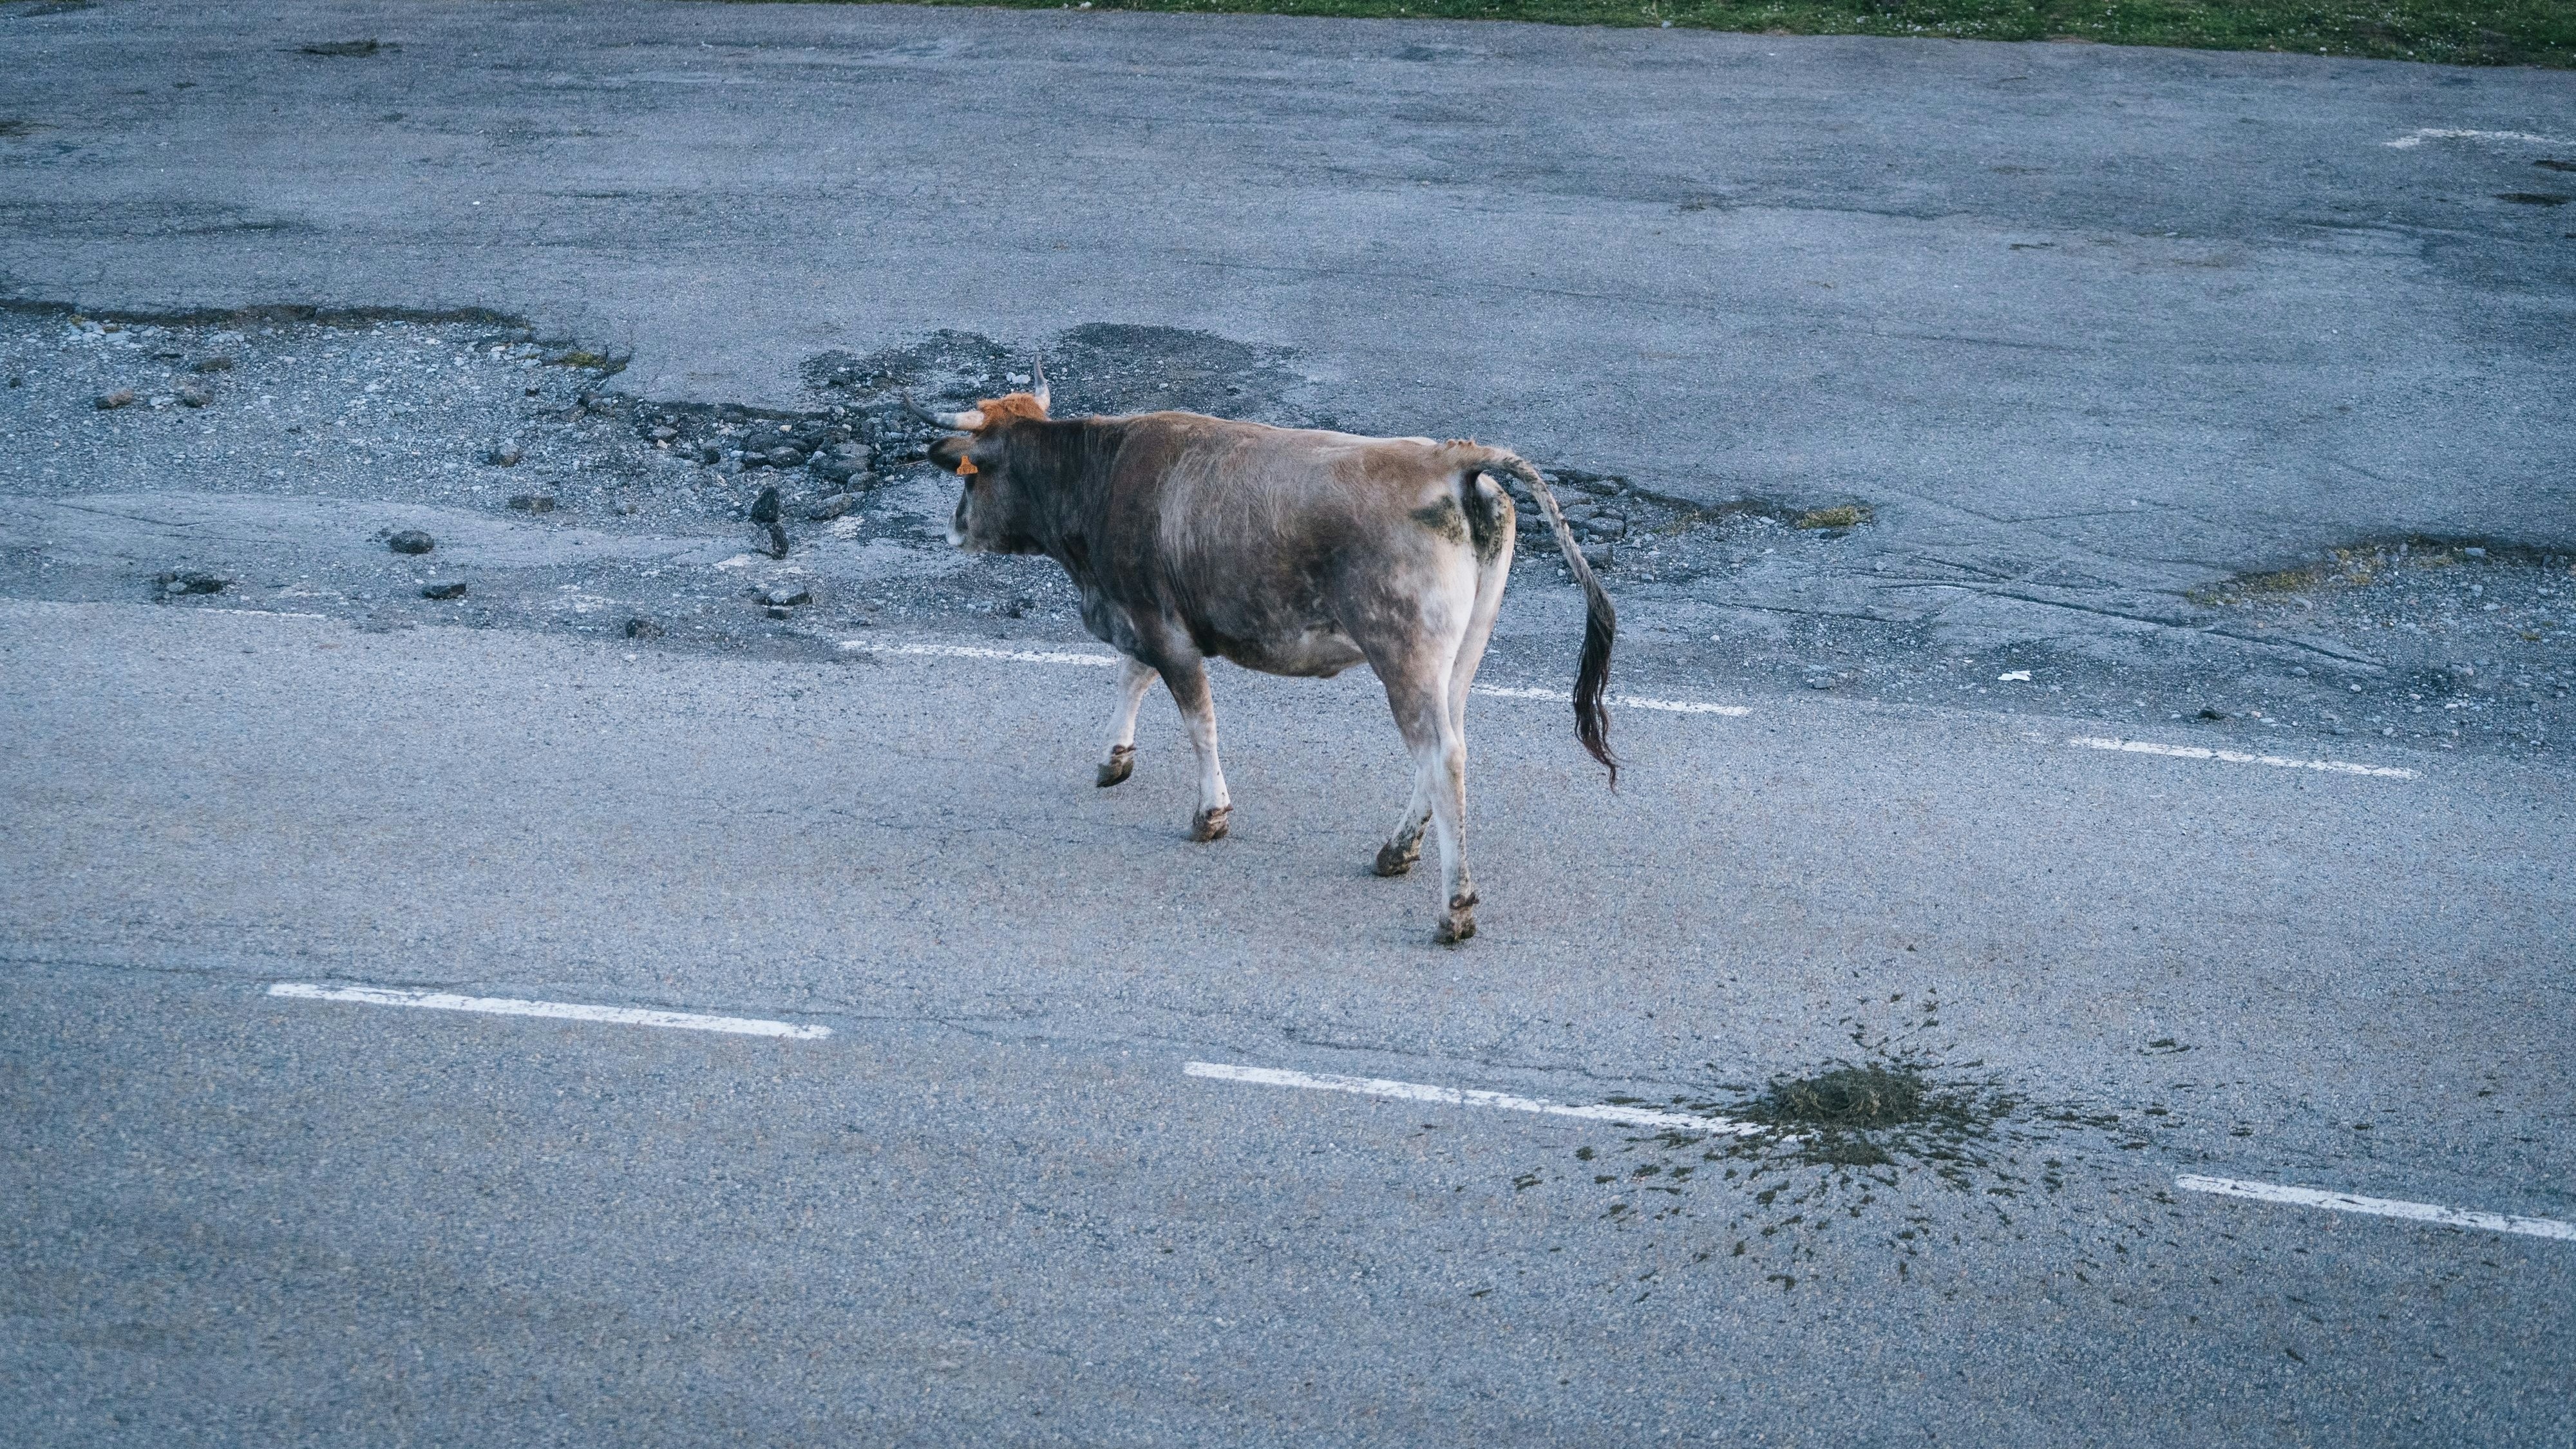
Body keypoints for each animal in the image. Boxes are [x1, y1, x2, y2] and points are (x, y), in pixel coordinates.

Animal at [909, 360, 1615, 945]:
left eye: (972, 476)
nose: (952, 531)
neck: (1099, 473)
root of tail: (1449, 458)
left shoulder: (1160, 624)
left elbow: (1197, 717)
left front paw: (1209, 814)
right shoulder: (1146, 617)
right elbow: (1132, 677)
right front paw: (1114, 758)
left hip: (1404, 654)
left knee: (1441, 757)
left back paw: (1454, 910)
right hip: (1459, 653)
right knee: (1450, 743)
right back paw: (1395, 852)